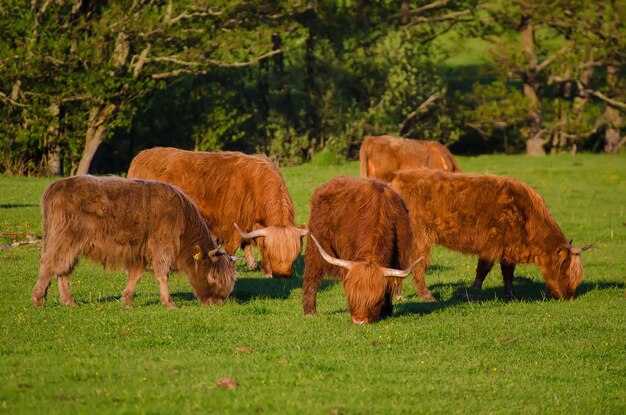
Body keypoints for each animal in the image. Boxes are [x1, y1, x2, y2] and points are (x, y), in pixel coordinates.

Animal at [29, 176, 234, 308]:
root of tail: (57, 185)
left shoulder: (140, 251)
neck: (183, 222)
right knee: (50, 264)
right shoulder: (161, 247)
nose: (218, 302)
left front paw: (126, 301)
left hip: (68, 243)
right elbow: (162, 275)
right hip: (65, 238)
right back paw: (38, 299)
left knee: (63, 270)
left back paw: (69, 302)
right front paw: (169, 303)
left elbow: (135, 275)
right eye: (214, 276)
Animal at [125, 149, 306, 280]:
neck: (254, 186)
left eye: (295, 253)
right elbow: (233, 247)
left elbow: (248, 242)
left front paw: (254, 265)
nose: (283, 275)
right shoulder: (231, 223)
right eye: (270, 251)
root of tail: (141, 156)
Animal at [302, 176, 420, 324]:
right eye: (351, 296)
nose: (359, 320)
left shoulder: (397, 259)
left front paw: (386, 311)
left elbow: (389, 283)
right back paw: (310, 311)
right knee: (312, 274)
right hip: (316, 244)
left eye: (375, 300)